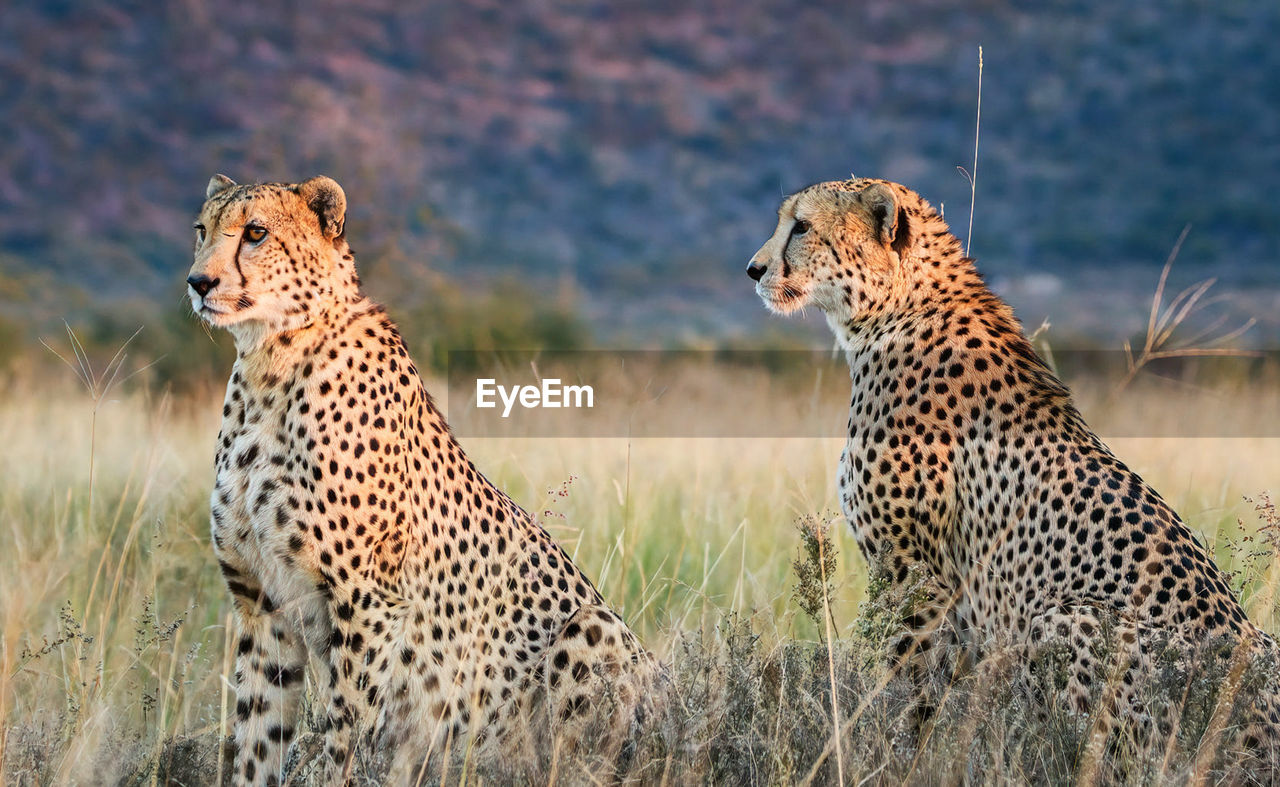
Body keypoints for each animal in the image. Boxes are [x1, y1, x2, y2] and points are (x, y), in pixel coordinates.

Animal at [190, 175, 670, 783]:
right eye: (201, 230)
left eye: (255, 233)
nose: (198, 282)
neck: (268, 366)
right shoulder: (262, 605)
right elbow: (258, 742)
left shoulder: (368, 604)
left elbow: (342, 736)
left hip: (590, 627)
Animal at [747, 176, 1280, 762]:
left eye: (801, 226)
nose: (753, 269)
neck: (895, 308)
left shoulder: (915, 571)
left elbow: (907, 683)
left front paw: (893, 751)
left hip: (1064, 618)